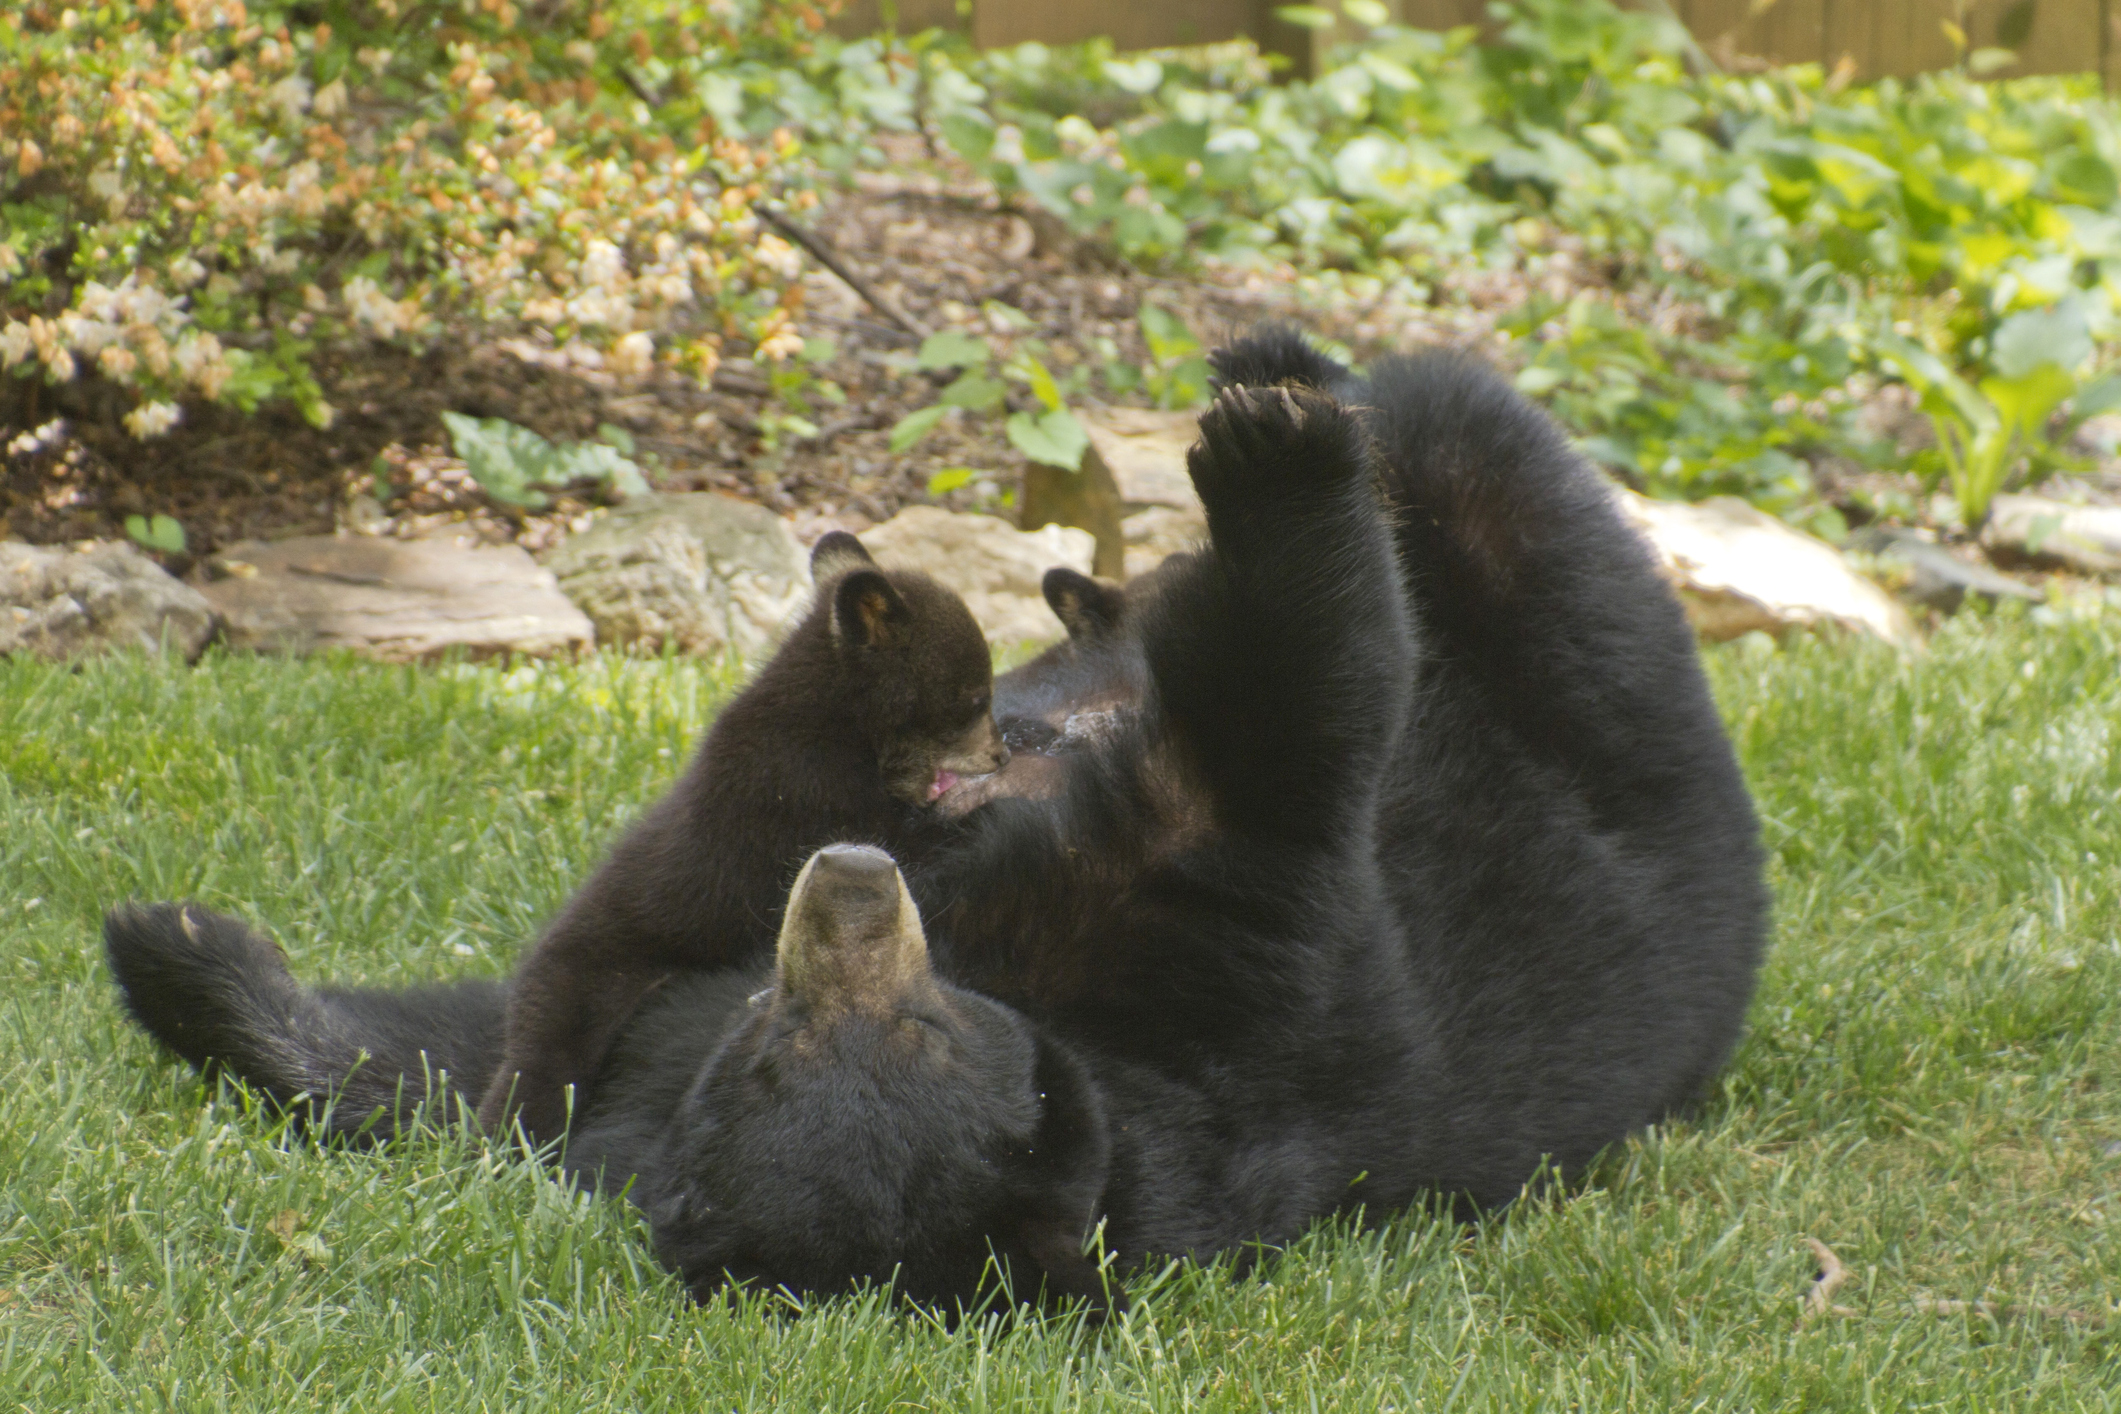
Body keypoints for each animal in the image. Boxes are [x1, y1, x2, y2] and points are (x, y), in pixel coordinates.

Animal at [474, 530, 1008, 1144]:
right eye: (975, 699)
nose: (1001, 753)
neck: (840, 727)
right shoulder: (801, 793)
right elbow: (894, 842)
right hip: (586, 990)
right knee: (540, 1066)